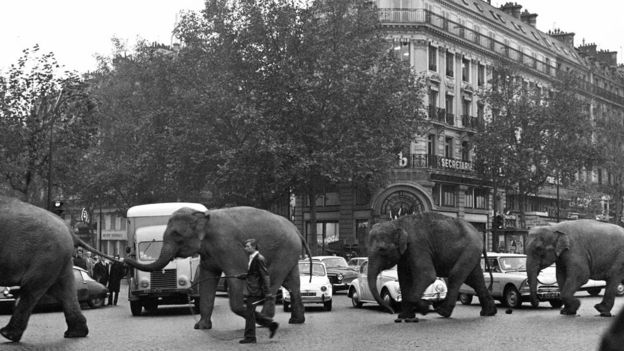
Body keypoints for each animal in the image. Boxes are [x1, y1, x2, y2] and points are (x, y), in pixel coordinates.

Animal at [0, 197, 116, 342]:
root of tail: (69, 229)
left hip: (46, 255)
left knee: (32, 288)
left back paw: (7, 334)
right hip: (58, 257)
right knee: (64, 289)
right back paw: (75, 333)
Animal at [123, 206, 312, 330]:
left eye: (177, 235)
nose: (125, 258)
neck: (204, 217)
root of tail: (296, 229)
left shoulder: (228, 246)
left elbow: (236, 276)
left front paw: (254, 317)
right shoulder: (208, 254)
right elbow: (207, 281)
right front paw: (201, 327)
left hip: (284, 251)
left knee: (273, 280)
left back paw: (266, 320)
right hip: (290, 253)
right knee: (292, 283)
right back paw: (296, 320)